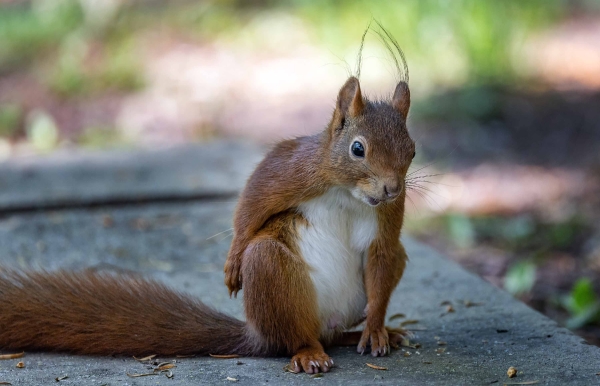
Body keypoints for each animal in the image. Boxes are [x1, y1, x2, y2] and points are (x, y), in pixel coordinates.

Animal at [0, 26, 414, 374]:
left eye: (411, 150)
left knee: (349, 315)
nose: (392, 188)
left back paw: (367, 334)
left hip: (373, 278)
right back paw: (308, 353)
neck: (348, 194)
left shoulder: (387, 222)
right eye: (357, 149)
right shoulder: (294, 168)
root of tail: (261, 336)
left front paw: (376, 329)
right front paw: (231, 263)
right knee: (293, 331)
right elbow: (252, 203)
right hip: (271, 275)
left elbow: (382, 255)